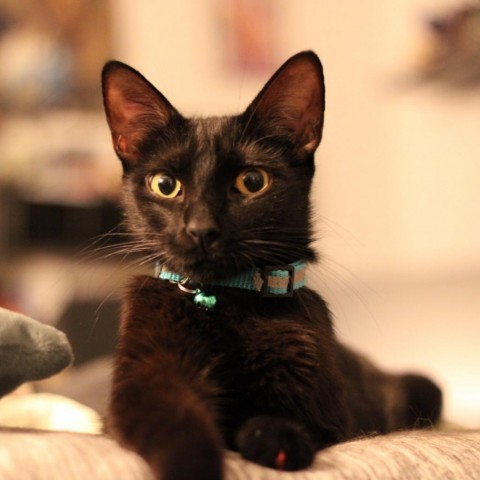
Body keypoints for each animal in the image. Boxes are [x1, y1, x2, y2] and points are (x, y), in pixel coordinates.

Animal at [102, 50, 442, 478]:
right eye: (165, 185)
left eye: (252, 181)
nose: (201, 229)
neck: (225, 298)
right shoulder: (145, 380)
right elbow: (177, 425)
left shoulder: (323, 409)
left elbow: (284, 419)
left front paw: (278, 441)